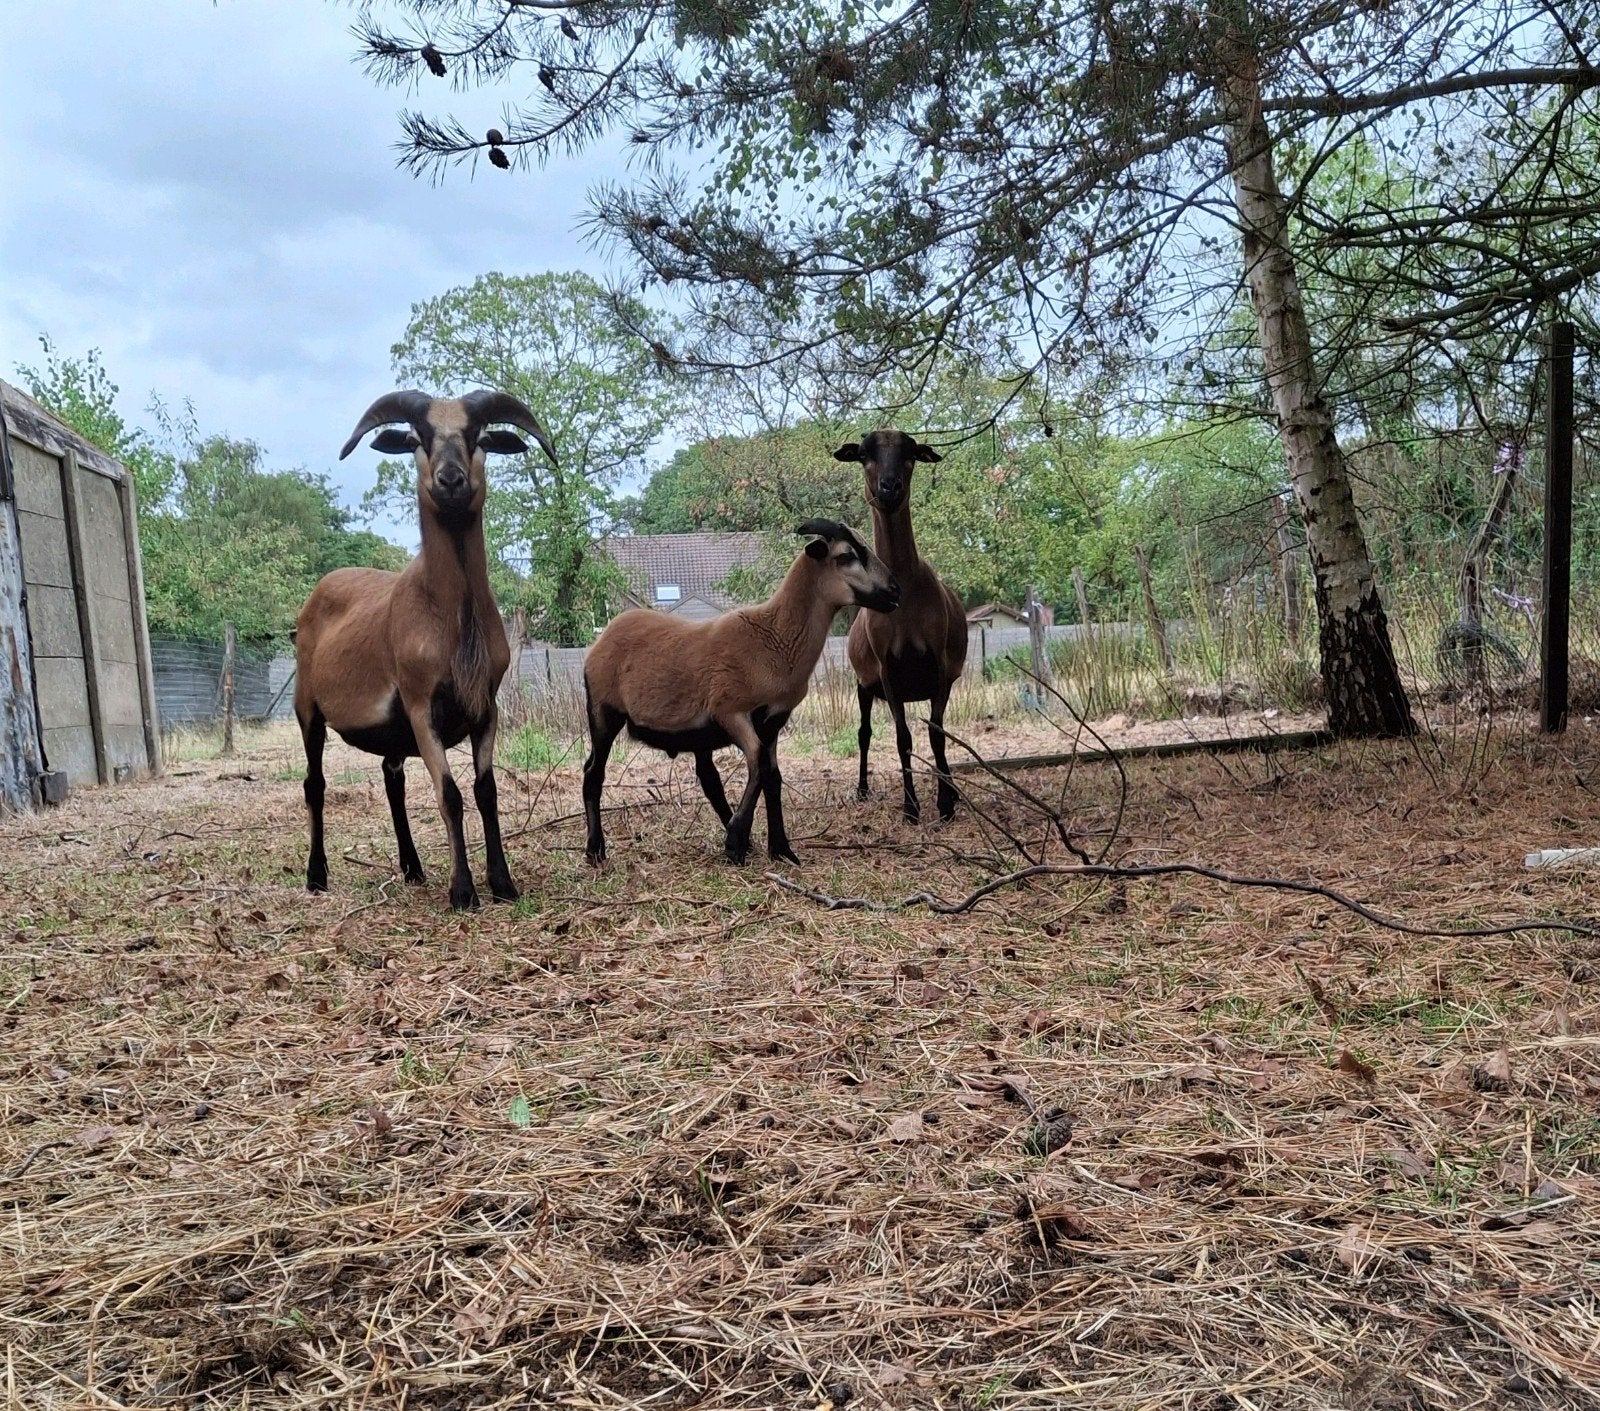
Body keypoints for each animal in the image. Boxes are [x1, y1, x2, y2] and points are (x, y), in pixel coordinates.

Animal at [295, 389, 558, 911]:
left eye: (479, 436)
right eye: (418, 438)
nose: (450, 479)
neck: (449, 618)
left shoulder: (485, 706)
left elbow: (486, 791)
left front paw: (503, 883)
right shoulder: (421, 706)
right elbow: (450, 795)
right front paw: (463, 892)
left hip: (391, 732)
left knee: (391, 778)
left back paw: (413, 869)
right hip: (308, 709)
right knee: (315, 784)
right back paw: (317, 876)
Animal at [582, 519, 899, 865]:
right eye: (846, 556)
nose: (895, 591)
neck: (776, 637)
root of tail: (603, 638)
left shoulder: (773, 720)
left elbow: (773, 776)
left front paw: (781, 849)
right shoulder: (730, 710)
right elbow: (758, 764)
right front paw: (736, 841)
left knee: (709, 779)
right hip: (604, 711)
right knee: (593, 774)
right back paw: (595, 850)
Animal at [835, 429, 968, 822]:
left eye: (910, 456)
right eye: (864, 455)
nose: (889, 487)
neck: (905, 591)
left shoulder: (939, 665)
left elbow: (937, 734)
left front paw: (945, 804)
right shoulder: (888, 668)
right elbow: (902, 737)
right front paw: (911, 808)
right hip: (864, 684)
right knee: (864, 732)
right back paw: (862, 790)